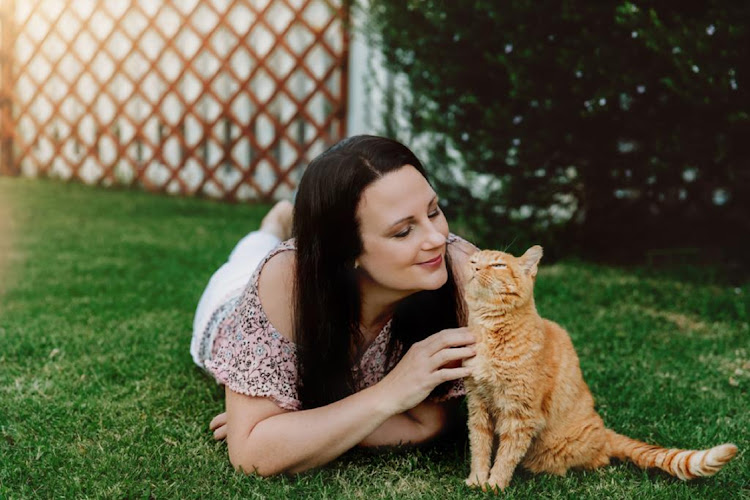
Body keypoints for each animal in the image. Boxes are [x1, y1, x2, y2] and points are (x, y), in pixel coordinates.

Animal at [464, 247, 740, 492]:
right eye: (474, 261)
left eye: (498, 265)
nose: (473, 267)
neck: (489, 331)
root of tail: (604, 430)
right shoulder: (478, 406)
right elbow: (479, 448)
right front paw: (477, 480)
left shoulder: (520, 415)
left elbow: (506, 456)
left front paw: (495, 485)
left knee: (599, 460)